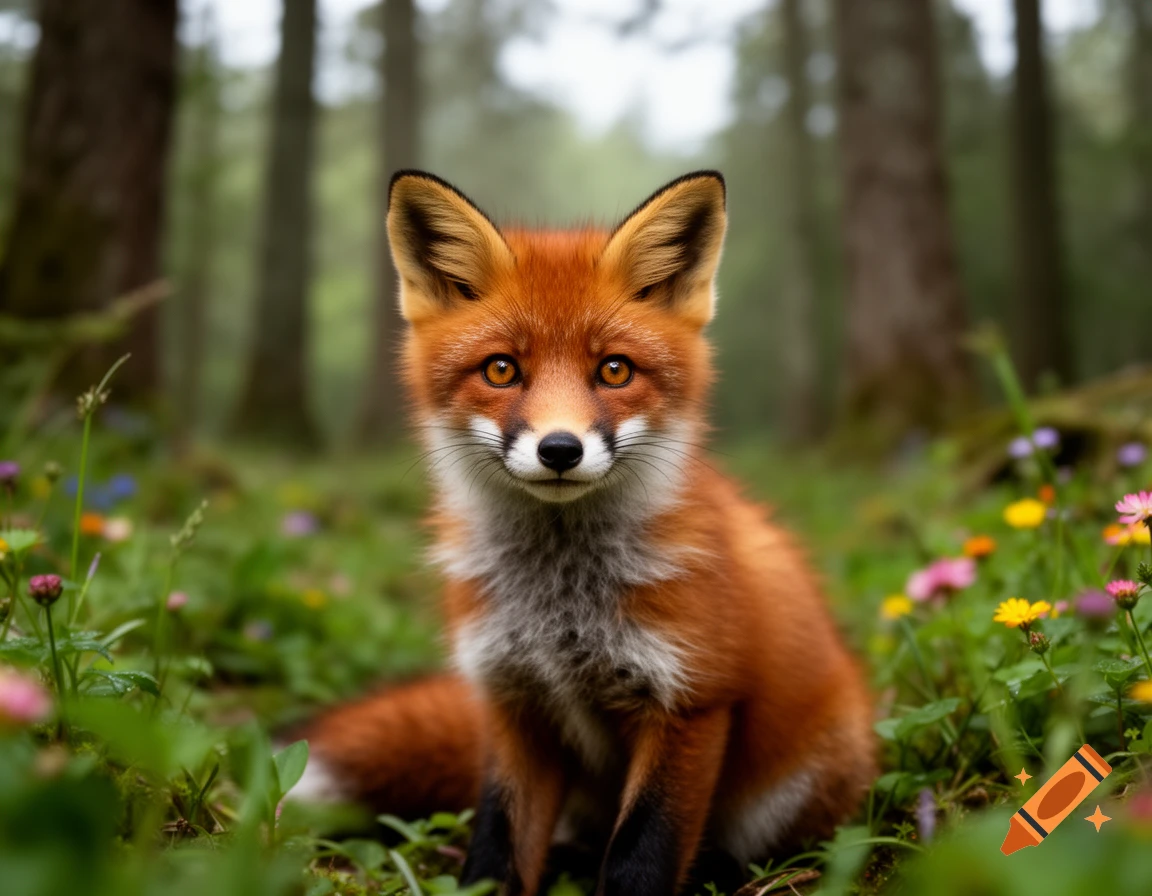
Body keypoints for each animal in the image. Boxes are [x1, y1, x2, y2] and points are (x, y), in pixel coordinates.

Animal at [292, 170, 877, 896]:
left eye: (615, 370)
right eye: (501, 369)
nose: (560, 449)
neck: (560, 607)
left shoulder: (689, 702)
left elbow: (642, 853)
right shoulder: (513, 702)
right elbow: (498, 844)